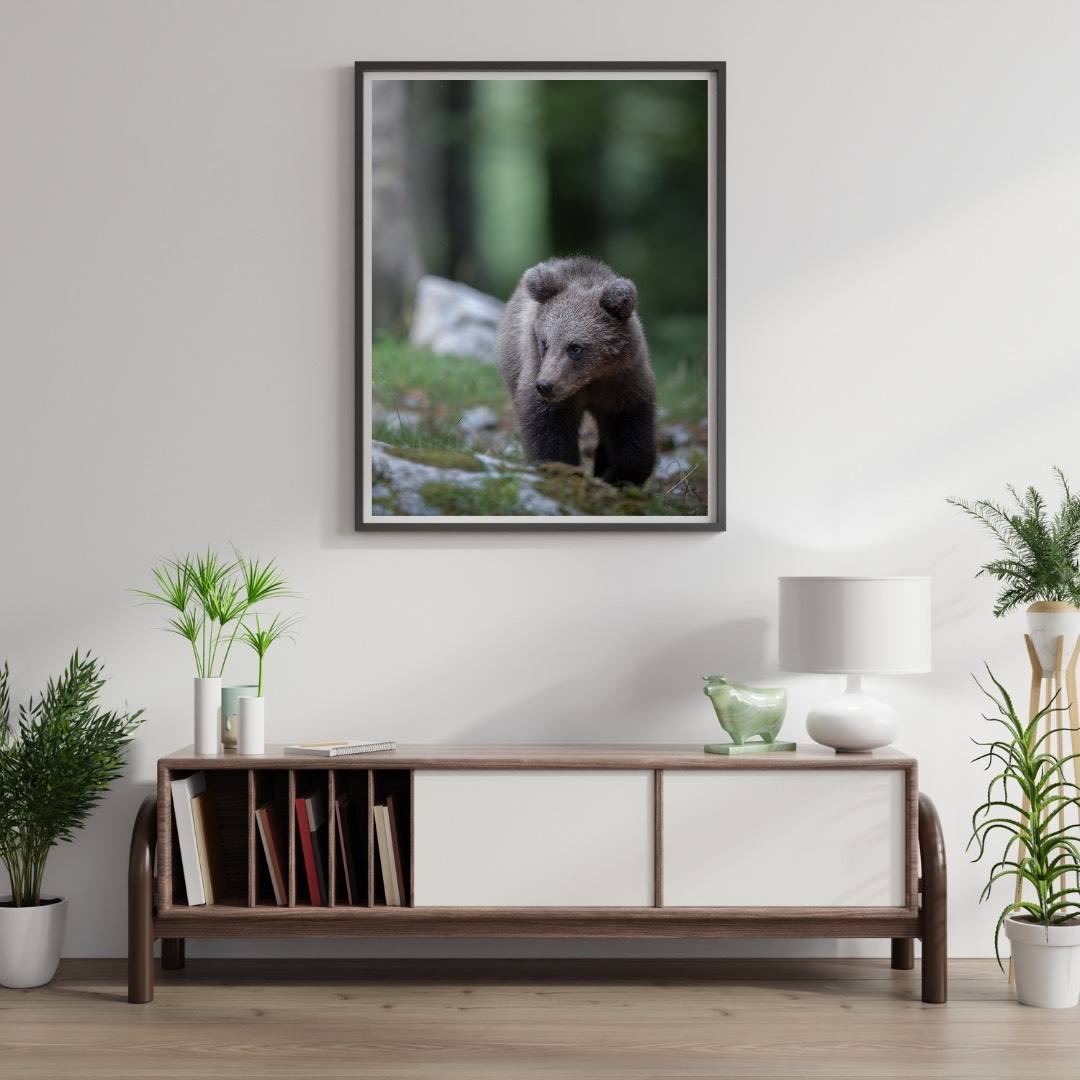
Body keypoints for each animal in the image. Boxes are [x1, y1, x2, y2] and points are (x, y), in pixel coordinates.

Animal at [495, 256, 657, 487]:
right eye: (544, 343)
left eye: (575, 347)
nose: (545, 385)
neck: (591, 379)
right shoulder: (541, 376)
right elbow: (548, 427)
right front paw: (562, 469)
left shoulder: (622, 382)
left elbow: (631, 428)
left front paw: (618, 475)